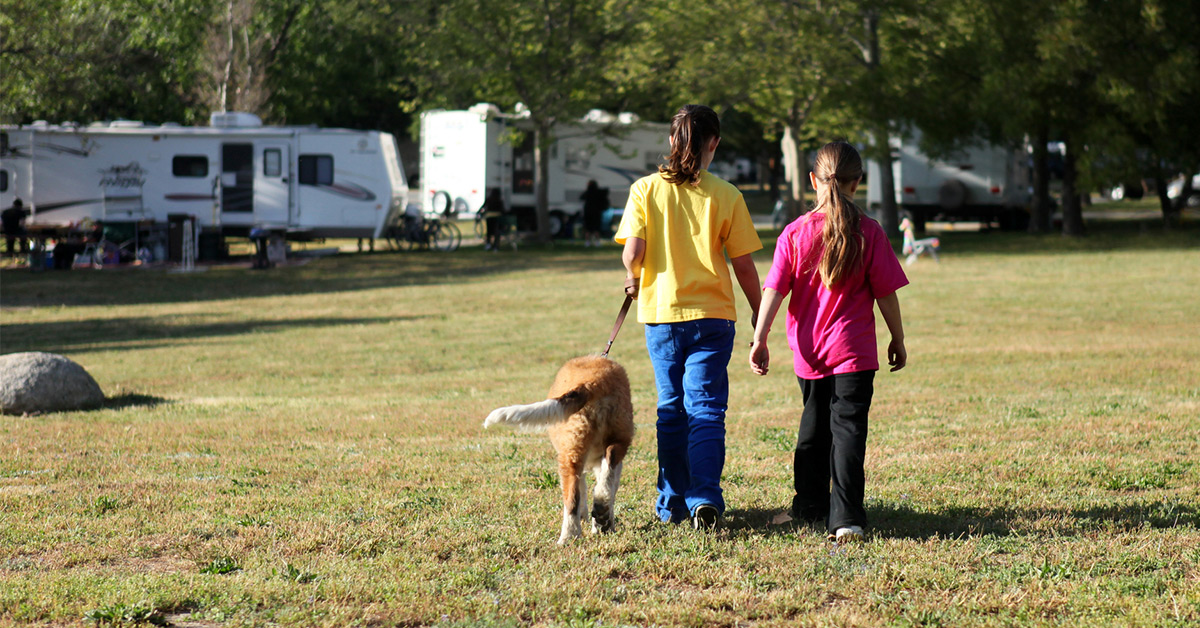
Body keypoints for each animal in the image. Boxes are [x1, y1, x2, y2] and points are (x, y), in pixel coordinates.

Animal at [487, 357, 638, 545]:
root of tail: (593, 382)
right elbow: (608, 486)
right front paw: (603, 525)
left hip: (569, 454)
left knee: (572, 498)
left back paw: (568, 537)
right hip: (617, 439)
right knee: (606, 480)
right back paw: (600, 509)